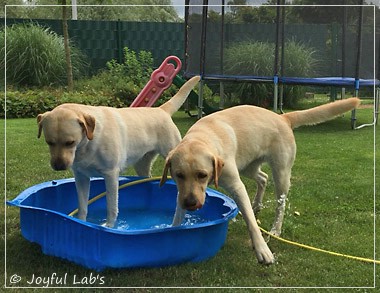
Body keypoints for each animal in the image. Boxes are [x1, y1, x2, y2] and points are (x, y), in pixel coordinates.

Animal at [37, 74, 200, 226]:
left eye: (70, 142)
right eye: (49, 142)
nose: (58, 166)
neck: (87, 144)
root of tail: (161, 110)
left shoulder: (111, 175)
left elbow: (111, 207)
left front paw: (109, 226)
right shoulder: (81, 176)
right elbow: (82, 206)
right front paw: (81, 222)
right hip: (141, 165)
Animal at [160, 97, 360, 264]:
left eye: (202, 175)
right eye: (179, 175)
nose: (190, 203)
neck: (204, 136)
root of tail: (283, 118)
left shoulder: (237, 186)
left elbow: (252, 224)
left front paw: (262, 250)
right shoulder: (182, 193)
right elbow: (177, 216)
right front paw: (172, 229)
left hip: (281, 173)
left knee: (280, 203)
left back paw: (275, 228)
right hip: (247, 166)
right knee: (263, 178)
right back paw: (256, 204)